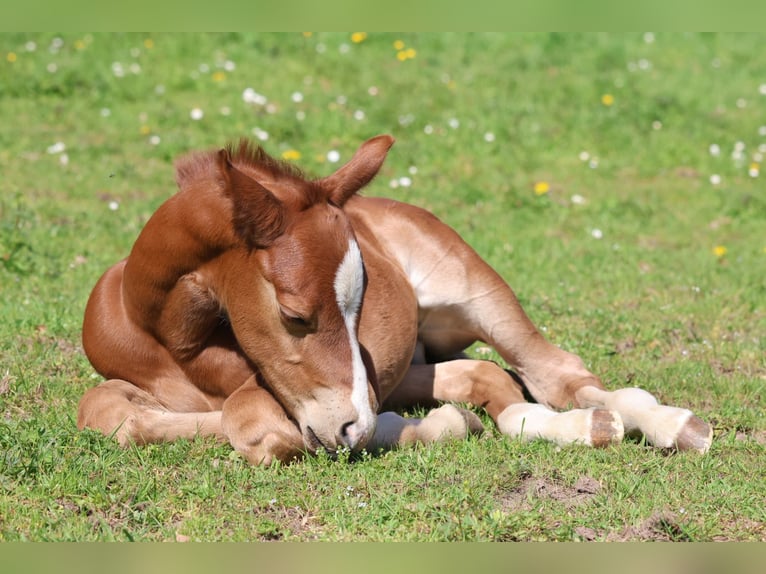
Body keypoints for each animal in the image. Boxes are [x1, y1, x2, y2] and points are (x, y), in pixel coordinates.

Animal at [78, 135, 713, 465]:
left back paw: (669, 423)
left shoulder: (304, 396)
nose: (355, 426)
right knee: (492, 380)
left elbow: (257, 423)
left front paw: (422, 427)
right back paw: (578, 426)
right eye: (295, 315)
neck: (172, 340)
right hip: (417, 363)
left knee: (554, 372)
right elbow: (106, 411)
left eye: (360, 308)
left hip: (479, 295)